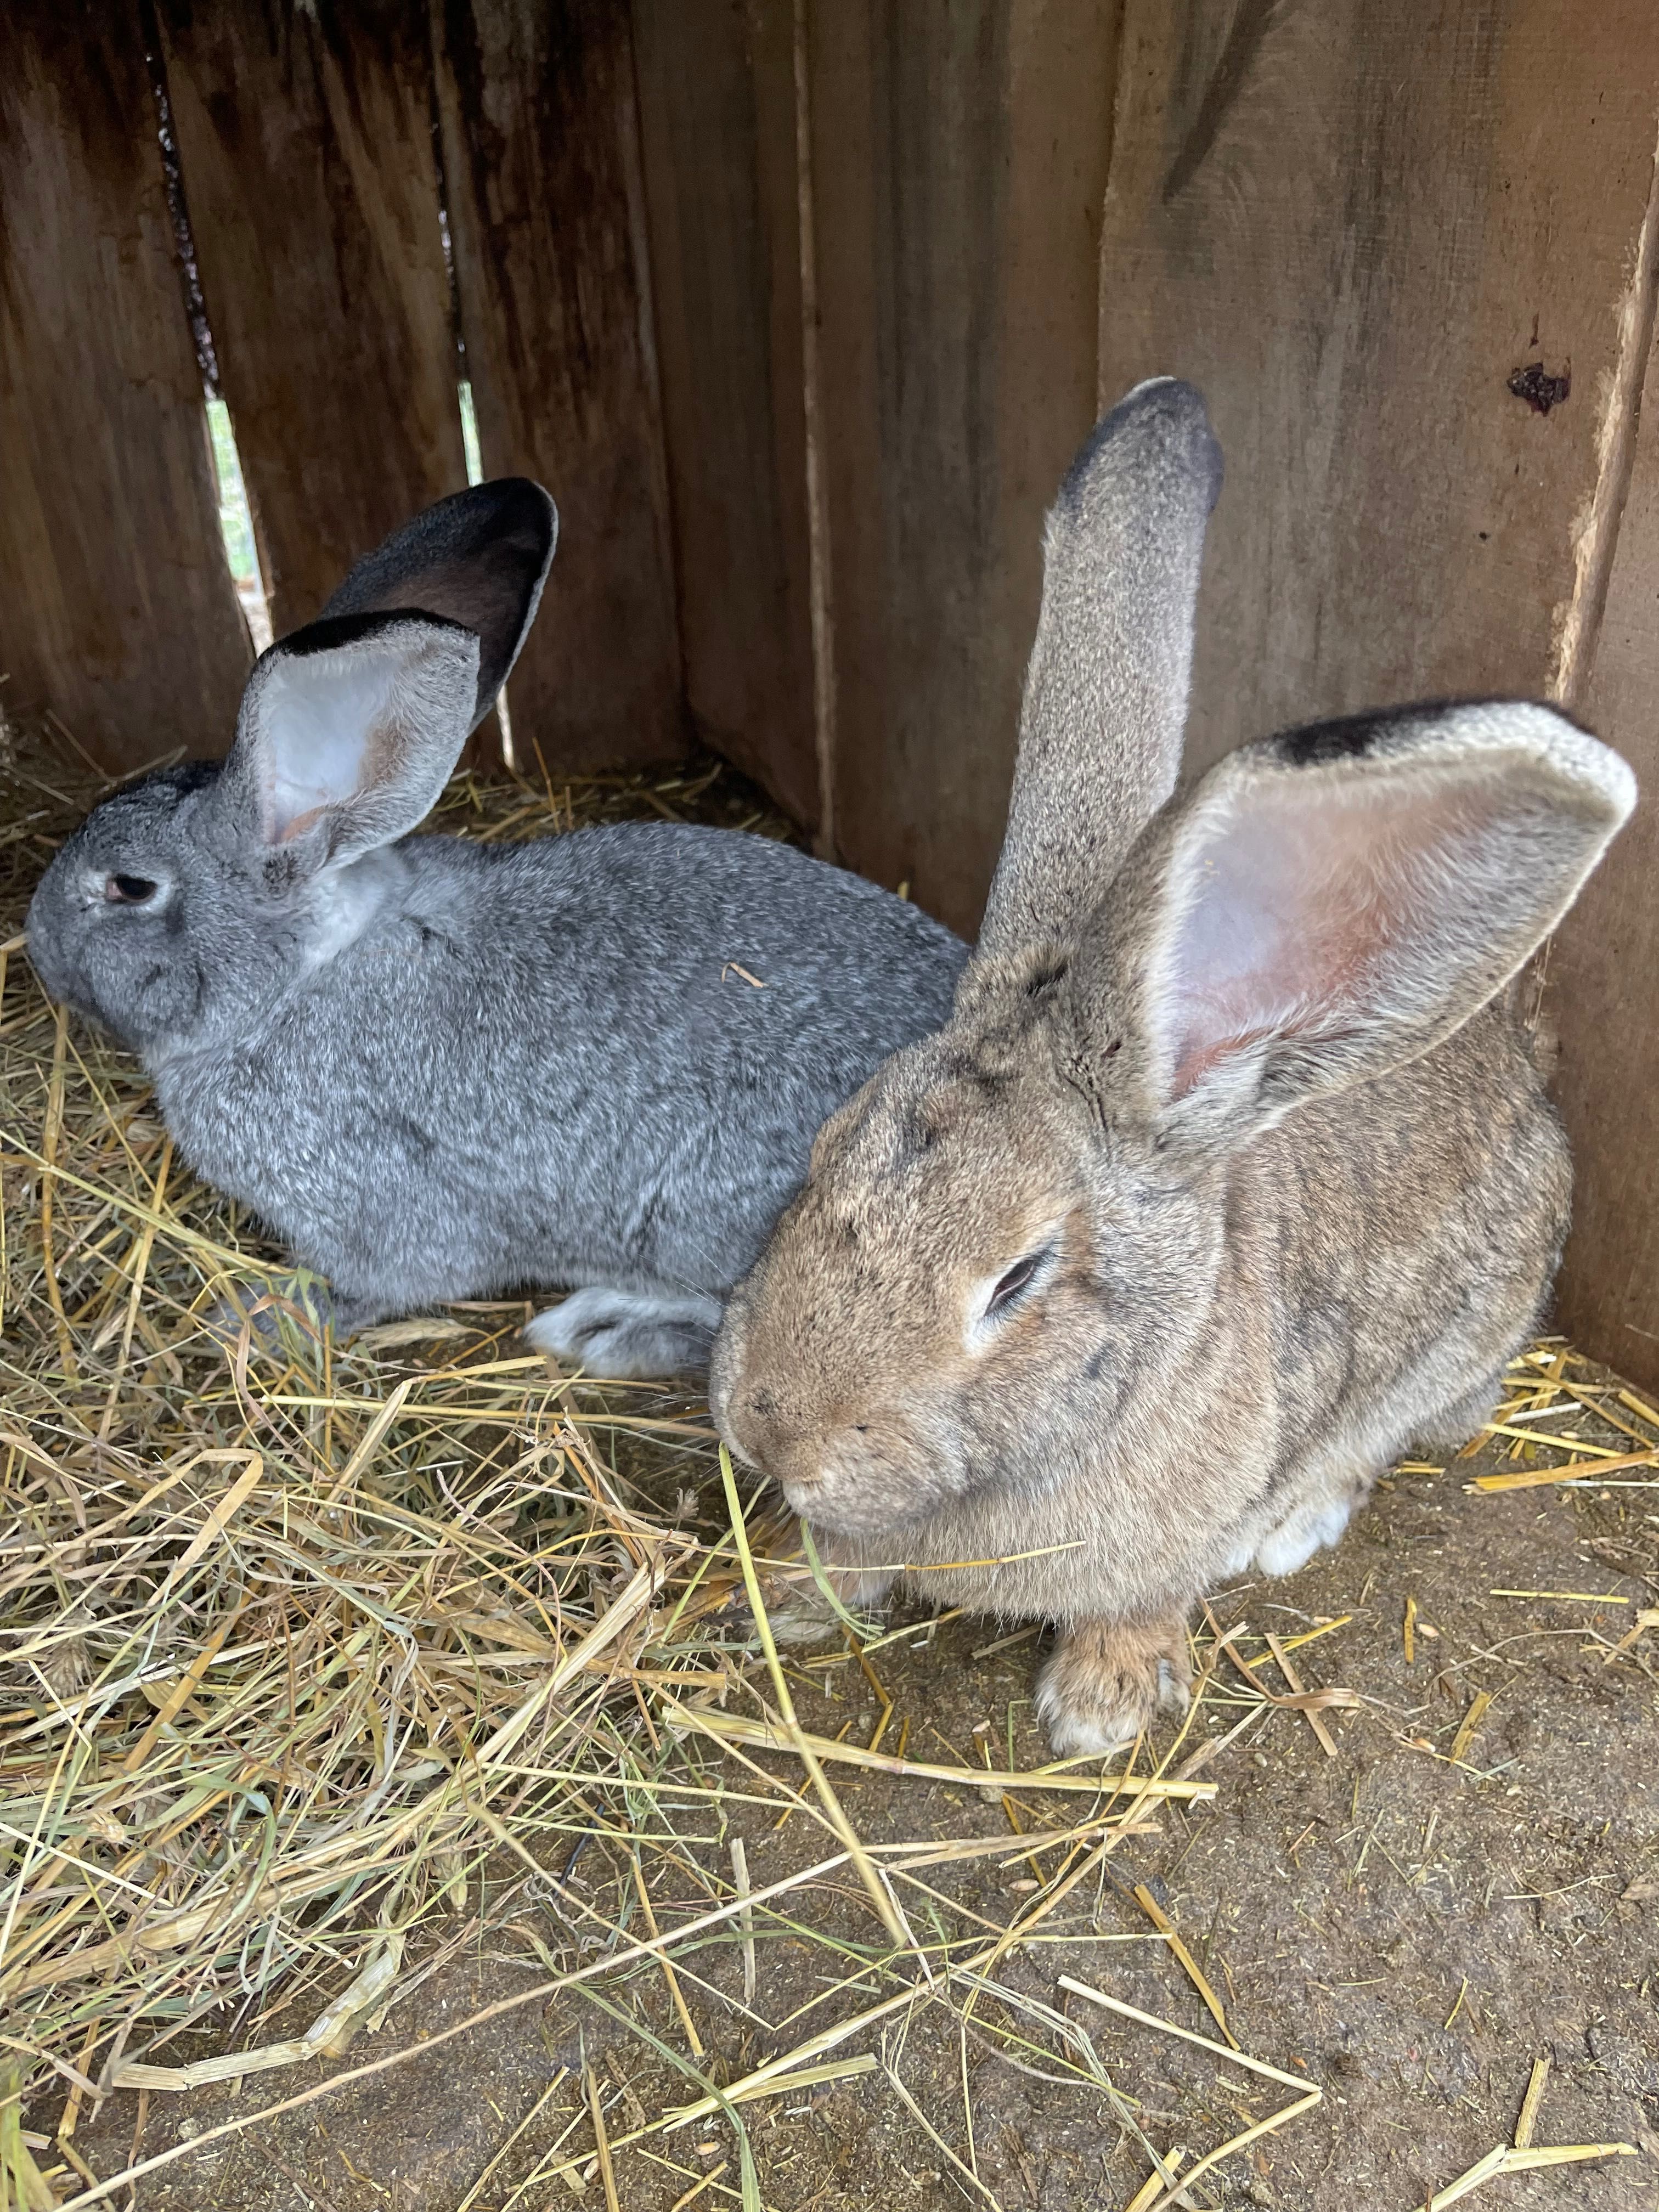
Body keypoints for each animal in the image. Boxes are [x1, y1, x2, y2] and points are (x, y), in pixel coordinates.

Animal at [26, 477, 969, 1371]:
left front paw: (257, 1320)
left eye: (130, 887)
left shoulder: (377, 1212)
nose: (33, 943)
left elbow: (373, 1286)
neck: (302, 973)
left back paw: (602, 1330)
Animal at [712, 385, 1637, 1760]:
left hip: (1463, 1342)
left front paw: (1099, 1708)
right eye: (822, 1154)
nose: (774, 1434)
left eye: (1020, 1279)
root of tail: (1522, 1068)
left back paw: (1294, 1526)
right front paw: (785, 1592)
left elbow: (1146, 1600)